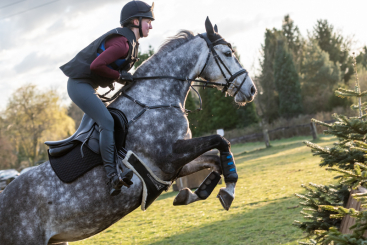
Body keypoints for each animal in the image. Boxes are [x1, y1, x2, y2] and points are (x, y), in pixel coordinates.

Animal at [0, 17, 256, 245]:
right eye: (227, 53)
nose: (251, 90)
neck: (156, 98)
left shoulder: (171, 167)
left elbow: (215, 160)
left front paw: (195, 194)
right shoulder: (169, 155)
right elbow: (221, 141)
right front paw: (228, 191)